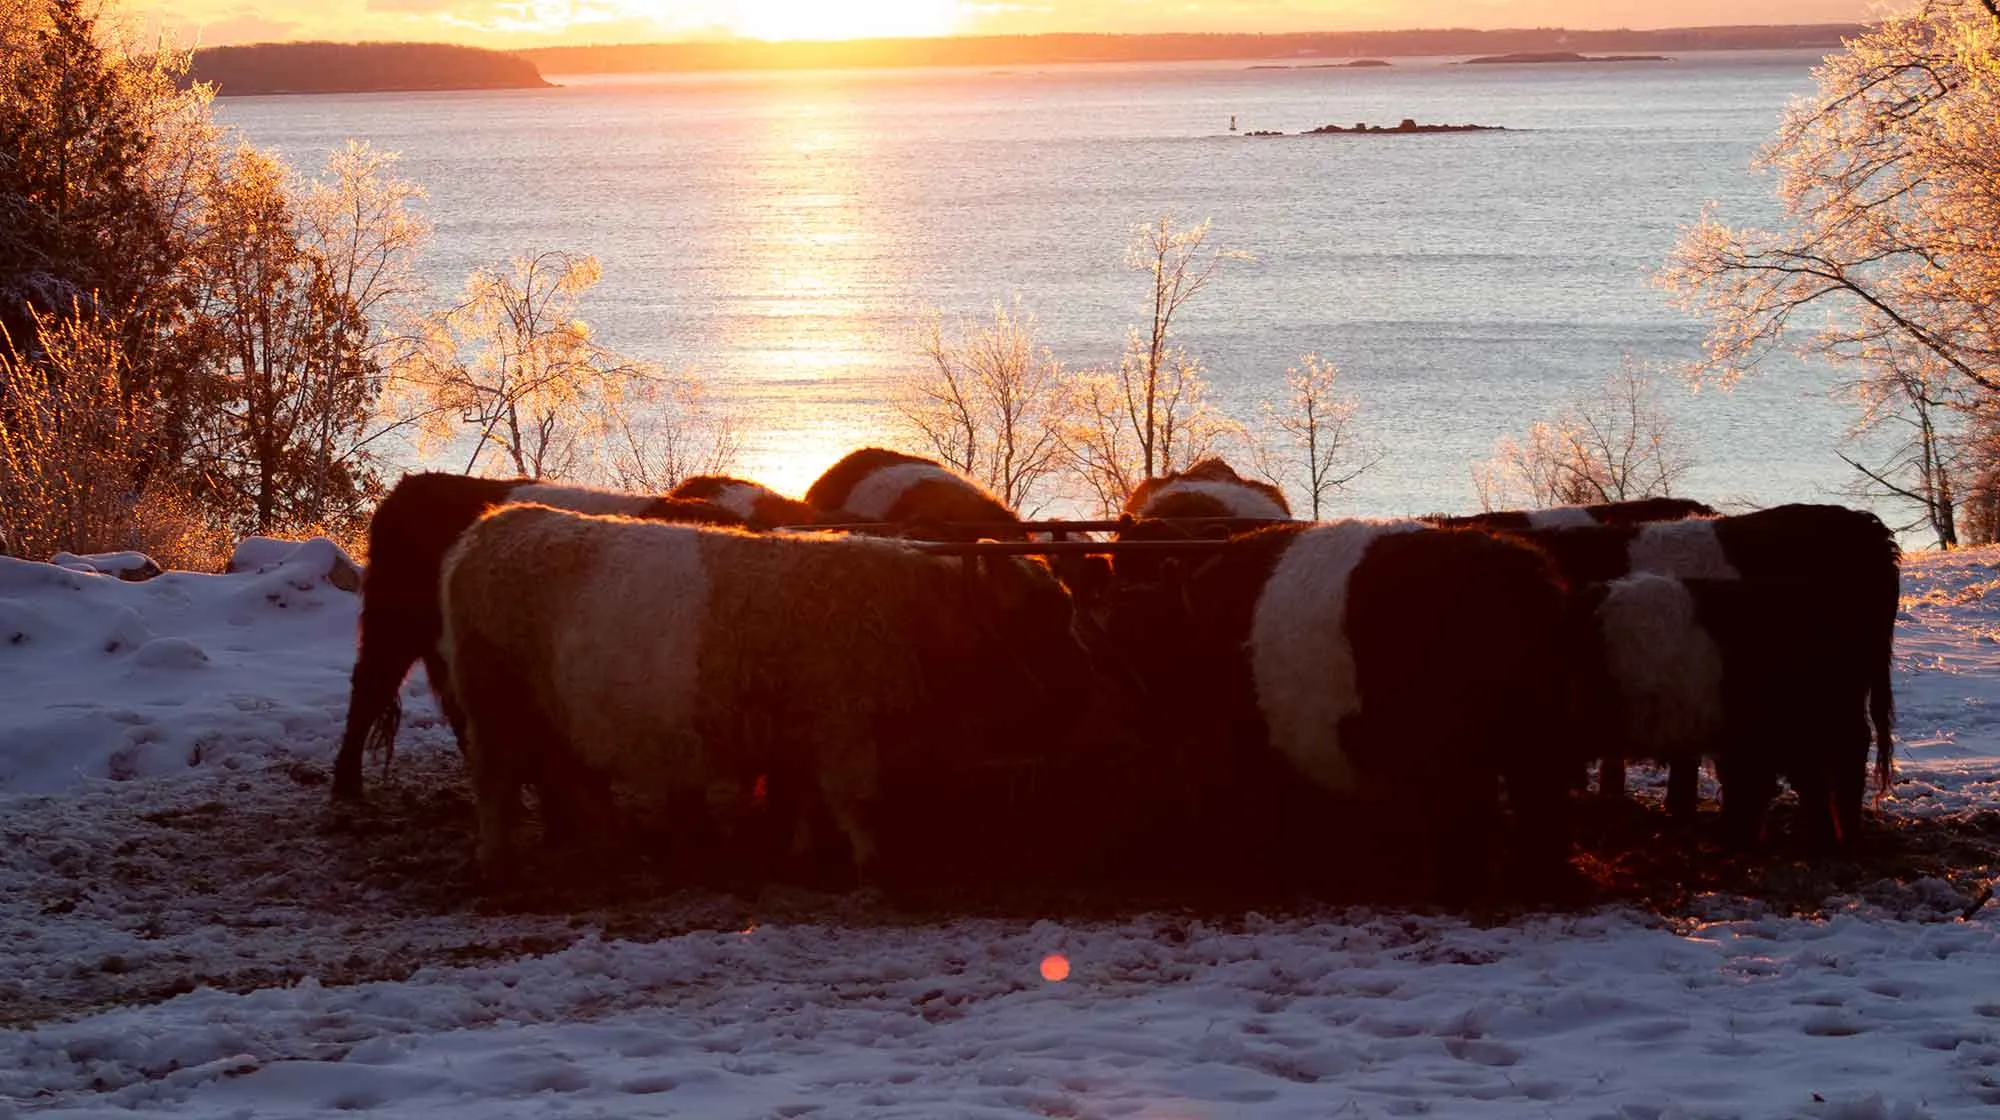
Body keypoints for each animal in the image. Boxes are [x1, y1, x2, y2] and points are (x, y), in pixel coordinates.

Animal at [436, 505, 1093, 885]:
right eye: (1042, 621)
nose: (1081, 686)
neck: (915, 612)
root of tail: (494, 525)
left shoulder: (805, 730)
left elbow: (805, 795)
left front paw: (804, 852)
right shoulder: (844, 728)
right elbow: (854, 798)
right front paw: (873, 860)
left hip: (558, 711)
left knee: (574, 778)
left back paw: (615, 849)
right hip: (497, 707)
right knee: (496, 780)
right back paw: (497, 862)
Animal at [1103, 520, 1579, 901]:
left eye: (1141, 641)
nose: (1133, 710)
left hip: (1461, 746)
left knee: (1473, 813)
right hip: (1540, 733)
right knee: (1542, 803)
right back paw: (1535, 882)